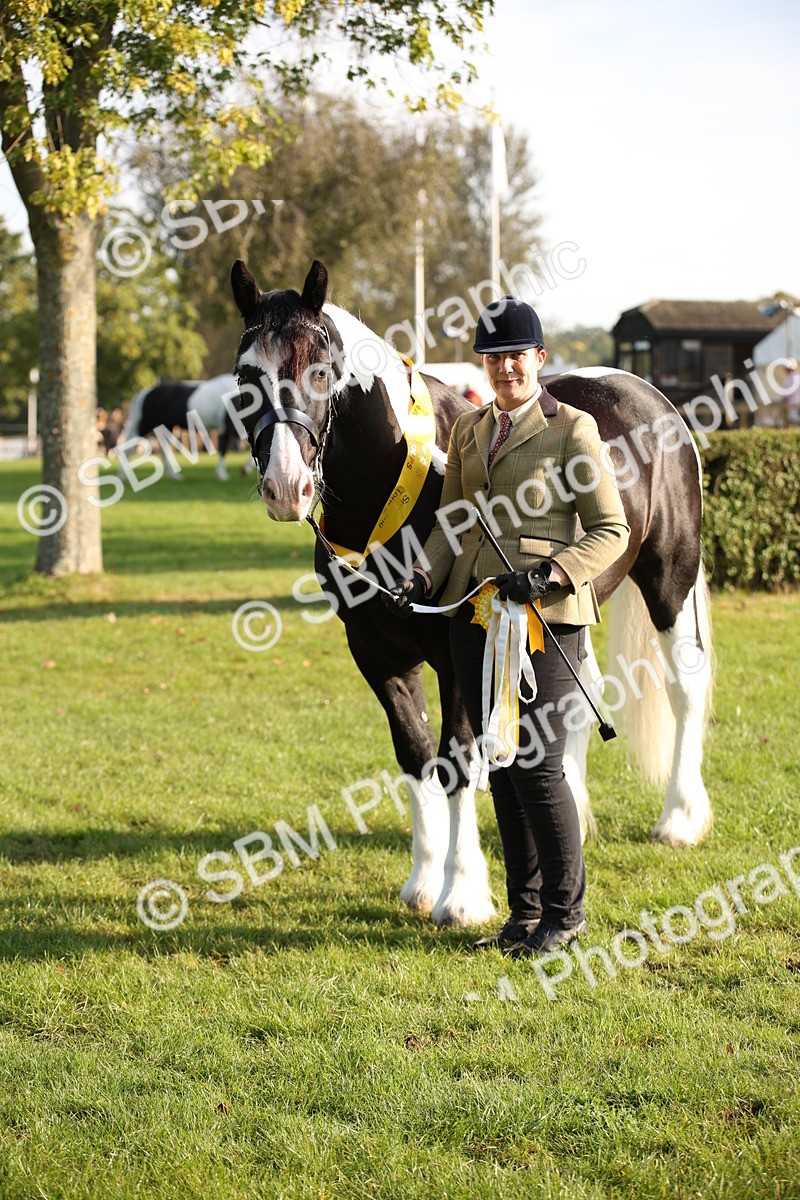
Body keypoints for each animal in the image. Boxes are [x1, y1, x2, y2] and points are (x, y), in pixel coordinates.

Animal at [119, 375, 253, 481]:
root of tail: (146, 392)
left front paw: (245, 469)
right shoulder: (229, 426)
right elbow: (223, 449)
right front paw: (222, 474)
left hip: (166, 426)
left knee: (163, 449)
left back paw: (174, 476)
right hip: (145, 425)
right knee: (129, 448)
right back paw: (122, 477)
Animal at [228, 258, 713, 929]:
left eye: (320, 370)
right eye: (246, 375)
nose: (286, 486)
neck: (395, 487)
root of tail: (650, 396)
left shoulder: (459, 649)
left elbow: (457, 758)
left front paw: (462, 893)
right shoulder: (376, 654)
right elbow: (415, 756)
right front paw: (422, 881)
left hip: (670, 578)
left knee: (685, 685)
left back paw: (681, 819)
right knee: (573, 701)